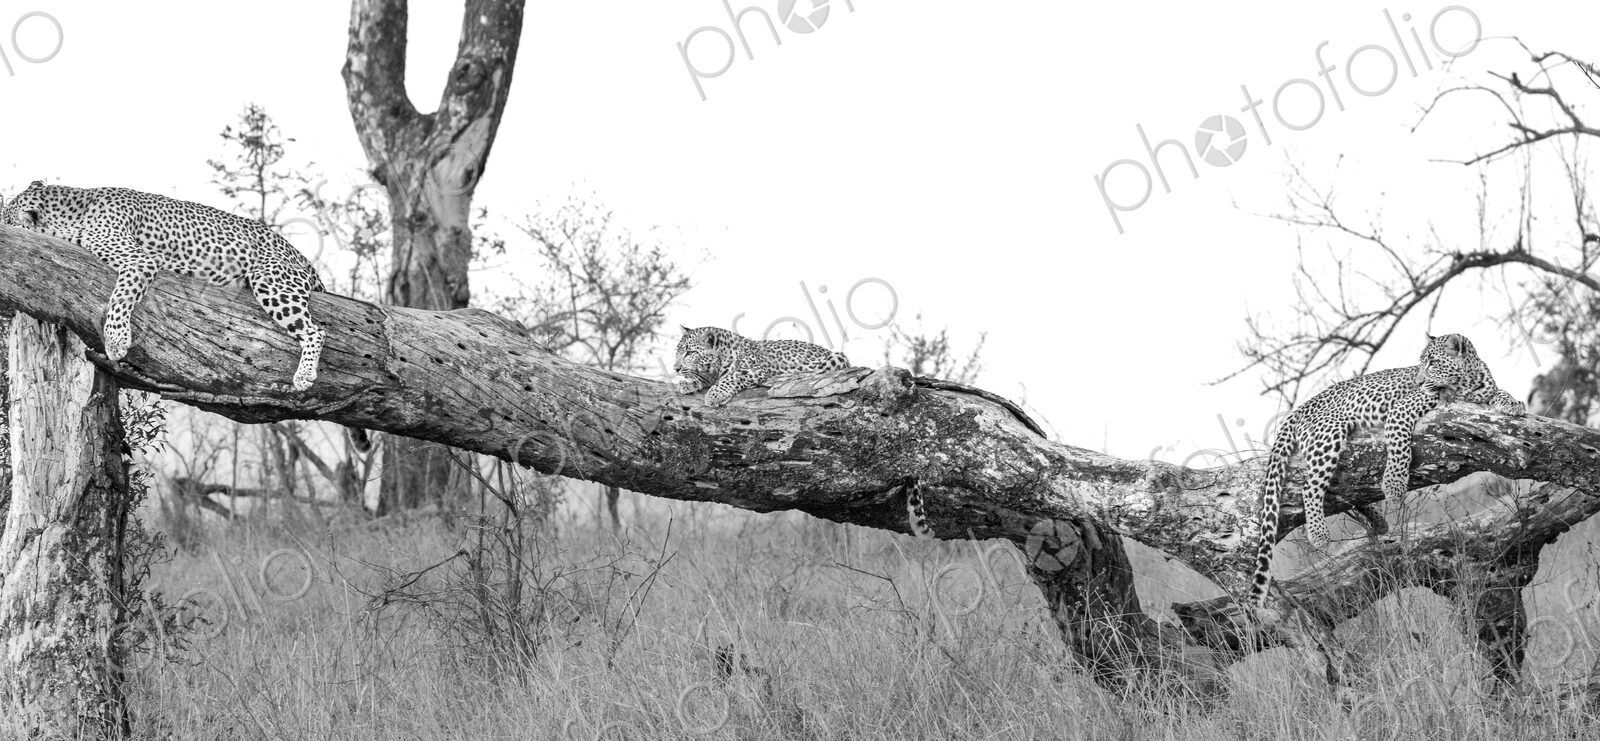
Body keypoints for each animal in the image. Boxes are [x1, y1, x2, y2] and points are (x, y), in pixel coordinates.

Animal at [1, 181, 370, 450]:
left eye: (6, 218)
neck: (72, 206)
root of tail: (300, 255)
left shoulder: (139, 260)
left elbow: (120, 297)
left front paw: (117, 341)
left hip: (271, 280)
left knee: (316, 330)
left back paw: (304, 376)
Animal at [1248, 333, 1525, 607]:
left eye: (1433, 362)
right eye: (1422, 363)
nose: (1418, 381)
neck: (1467, 382)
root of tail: (1300, 408)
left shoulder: (1484, 393)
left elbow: (1500, 393)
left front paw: (1514, 404)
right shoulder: (1401, 410)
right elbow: (1400, 446)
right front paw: (1393, 485)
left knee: (1344, 491)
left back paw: (1379, 523)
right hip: (1328, 437)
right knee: (1310, 486)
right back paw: (1319, 533)